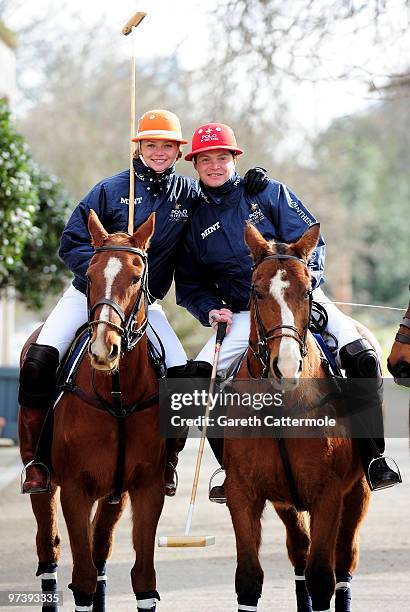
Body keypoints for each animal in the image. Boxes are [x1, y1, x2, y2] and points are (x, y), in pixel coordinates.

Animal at [20, 212, 165, 612]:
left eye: (136, 277)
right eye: (89, 273)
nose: (104, 349)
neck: (117, 397)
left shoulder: (146, 487)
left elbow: (143, 578)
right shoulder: (74, 489)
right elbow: (81, 578)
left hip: (115, 495)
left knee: (100, 548)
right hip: (44, 483)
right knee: (49, 548)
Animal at [224, 224, 372, 612]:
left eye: (307, 291)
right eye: (257, 291)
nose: (286, 367)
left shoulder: (328, 494)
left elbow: (322, 578)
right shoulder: (242, 493)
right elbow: (249, 577)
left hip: (358, 494)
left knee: (344, 561)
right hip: (287, 503)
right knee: (300, 554)